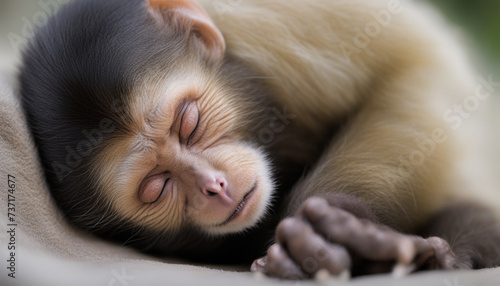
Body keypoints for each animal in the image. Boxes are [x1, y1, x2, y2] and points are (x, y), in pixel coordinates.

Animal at [19, 0, 500, 280]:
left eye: (189, 123)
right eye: (156, 187)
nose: (214, 185)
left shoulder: (270, 25)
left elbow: (414, 64)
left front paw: (341, 224)